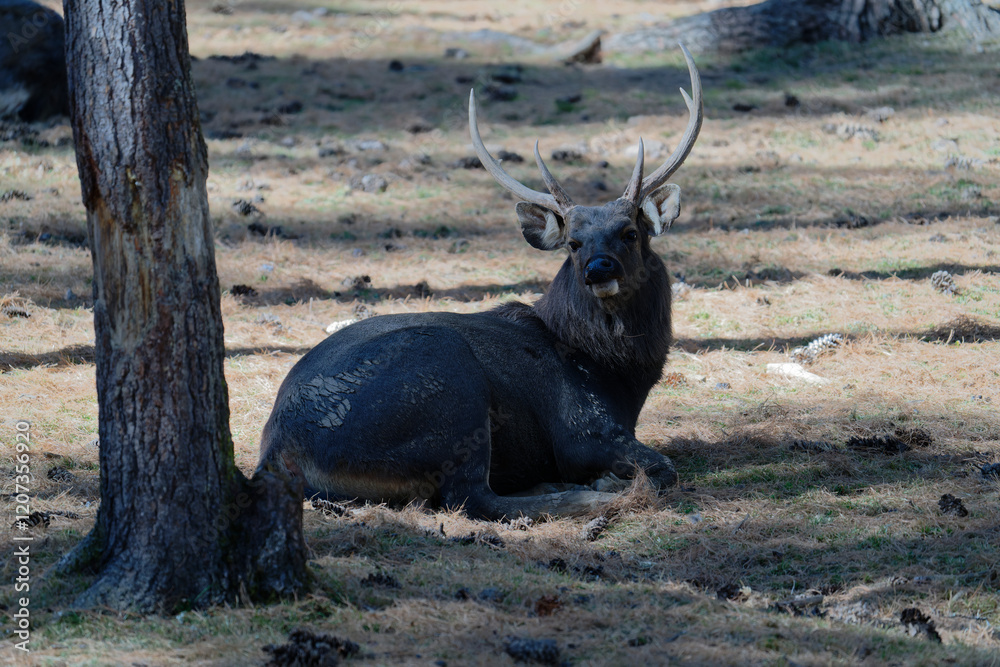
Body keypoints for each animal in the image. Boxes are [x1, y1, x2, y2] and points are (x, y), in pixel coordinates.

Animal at [256, 45, 704, 520]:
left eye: (630, 232)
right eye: (573, 242)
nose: (599, 268)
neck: (618, 376)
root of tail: (277, 451)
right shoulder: (583, 429)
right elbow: (664, 468)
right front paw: (609, 479)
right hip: (449, 385)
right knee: (472, 497)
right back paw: (593, 493)